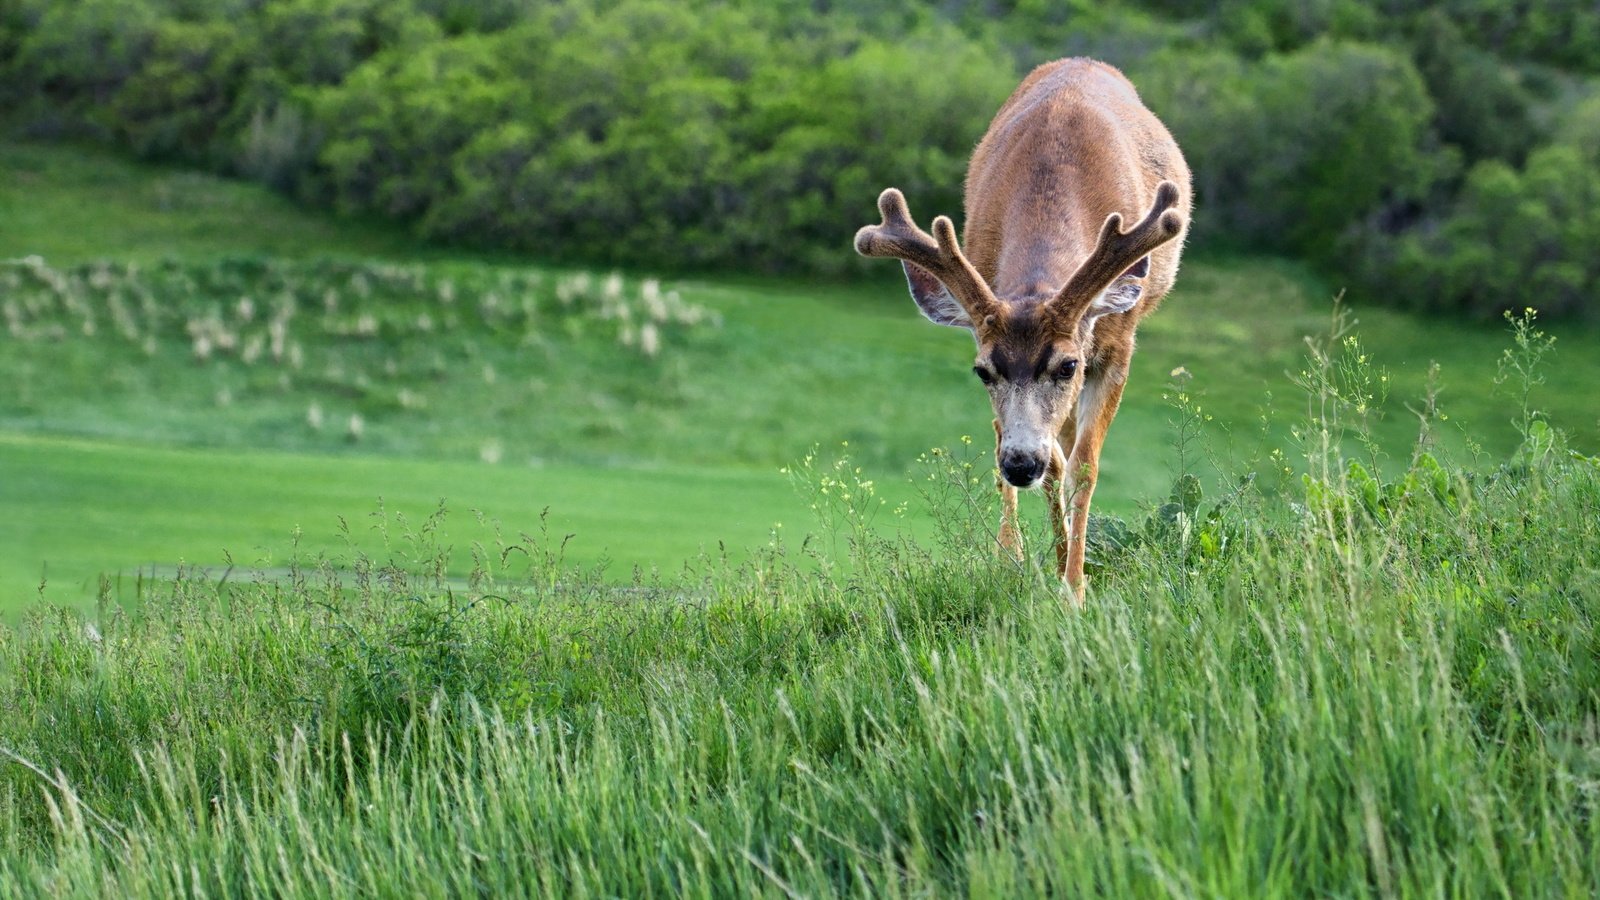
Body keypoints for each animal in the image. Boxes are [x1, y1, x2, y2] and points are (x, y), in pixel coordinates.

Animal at [851, 57, 1190, 602]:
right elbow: (1046, 459)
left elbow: (1085, 466)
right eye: (982, 371)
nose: (1020, 463)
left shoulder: (1116, 344)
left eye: (1067, 364)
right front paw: (1016, 558)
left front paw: (1074, 590)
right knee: (1053, 450)